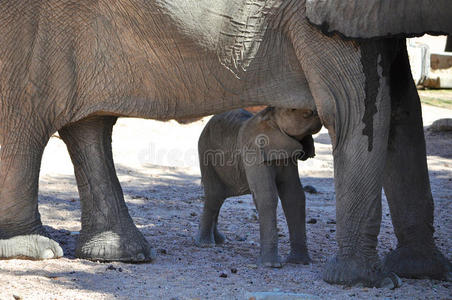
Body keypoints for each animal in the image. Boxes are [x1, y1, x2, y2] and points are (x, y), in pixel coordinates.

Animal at [195, 107, 322, 268]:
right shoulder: (254, 151)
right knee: (214, 196)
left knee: (219, 199)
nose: (317, 112)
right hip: (206, 154)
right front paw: (271, 265)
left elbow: (294, 195)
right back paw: (206, 244)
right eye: (293, 110)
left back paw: (219, 241)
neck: (270, 118)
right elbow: (267, 195)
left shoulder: (287, 157)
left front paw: (300, 263)